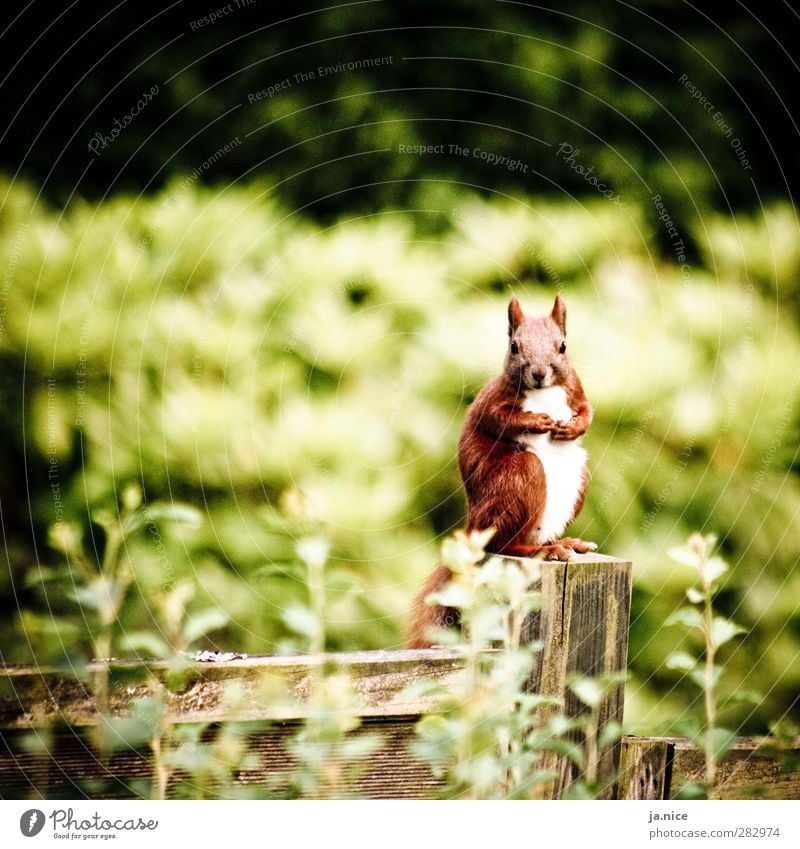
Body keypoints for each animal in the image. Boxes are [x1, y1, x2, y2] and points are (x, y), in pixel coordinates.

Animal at [410, 294, 596, 644]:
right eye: (514, 346)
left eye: (563, 346)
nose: (538, 373)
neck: (544, 394)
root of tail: (474, 527)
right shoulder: (492, 401)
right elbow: (500, 419)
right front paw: (535, 422)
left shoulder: (577, 393)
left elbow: (587, 411)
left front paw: (574, 427)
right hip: (520, 476)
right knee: (504, 545)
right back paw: (547, 551)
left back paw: (565, 544)